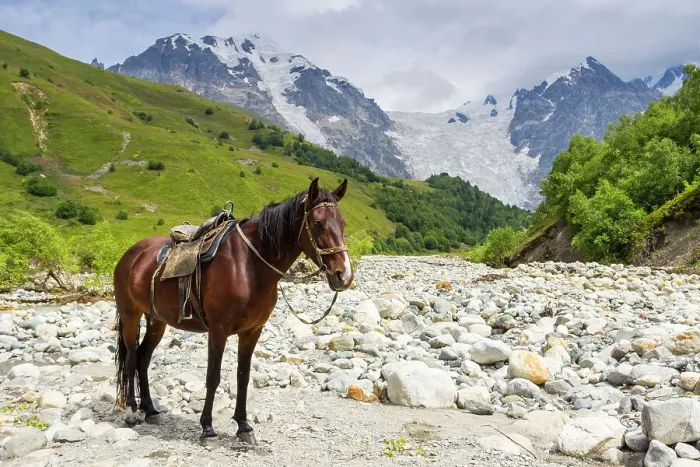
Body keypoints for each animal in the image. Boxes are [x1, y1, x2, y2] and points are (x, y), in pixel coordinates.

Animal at [112, 177, 353, 444]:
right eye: (318, 223)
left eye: (342, 223)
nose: (343, 275)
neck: (248, 265)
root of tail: (130, 254)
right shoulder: (218, 330)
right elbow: (213, 376)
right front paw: (207, 428)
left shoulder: (252, 331)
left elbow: (243, 376)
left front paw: (243, 426)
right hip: (130, 315)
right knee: (132, 358)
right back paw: (132, 410)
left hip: (157, 321)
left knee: (143, 358)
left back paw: (150, 409)